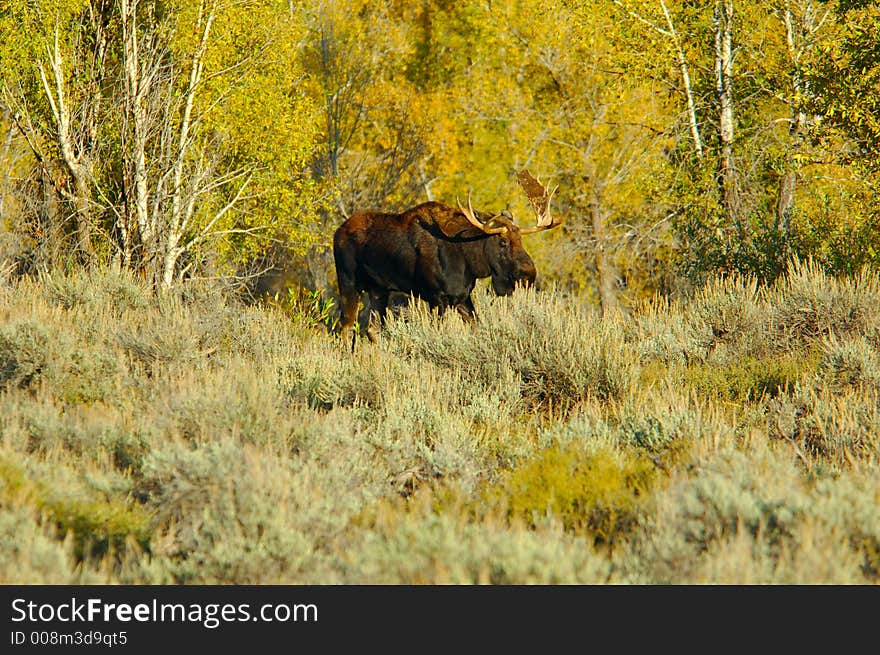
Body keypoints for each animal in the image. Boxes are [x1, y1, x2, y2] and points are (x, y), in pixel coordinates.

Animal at [334, 169, 560, 346]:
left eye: (520, 239)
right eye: (503, 241)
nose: (529, 273)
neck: (467, 261)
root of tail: (337, 232)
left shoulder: (462, 297)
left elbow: (476, 327)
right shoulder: (436, 298)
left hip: (379, 290)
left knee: (372, 330)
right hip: (348, 283)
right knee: (346, 329)